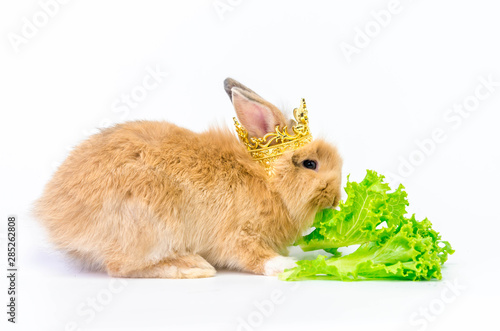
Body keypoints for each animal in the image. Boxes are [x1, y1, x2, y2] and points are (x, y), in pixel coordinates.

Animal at [33, 78, 342, 278]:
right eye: (310, 163)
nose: (337, 198)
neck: (269, 182)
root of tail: (54, 216)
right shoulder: (237, 234)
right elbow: (252, 256)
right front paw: (288, 266)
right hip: (152, 224)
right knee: (121, 267)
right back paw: (193, 266)